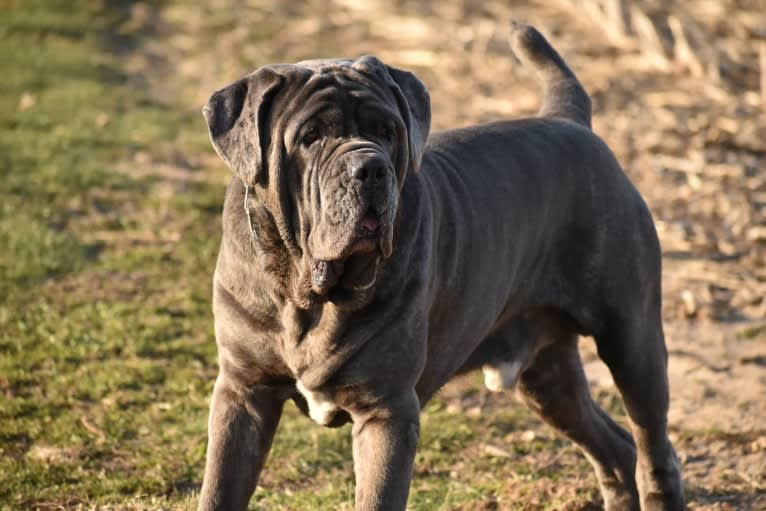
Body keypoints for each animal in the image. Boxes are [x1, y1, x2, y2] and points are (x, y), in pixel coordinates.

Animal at [198, 22, 684, 510]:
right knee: (615, 446)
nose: (370, 167)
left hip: (632, 340)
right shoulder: (243, 393)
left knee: (653, 445)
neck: (309, 296)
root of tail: (570, 119)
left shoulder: (387, 411)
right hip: (547, 376)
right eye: (310, 136)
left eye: (388, 131)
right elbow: (219, 488)